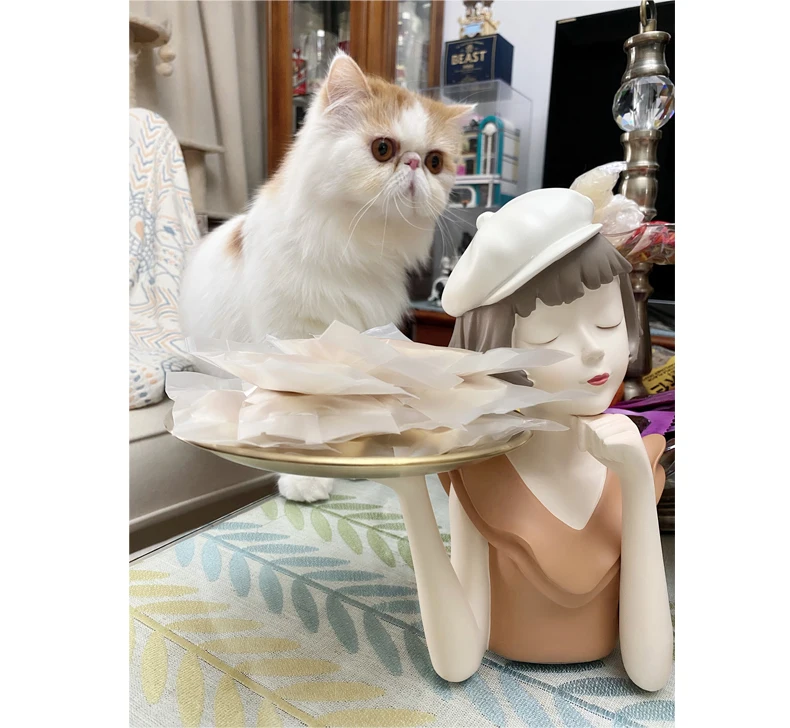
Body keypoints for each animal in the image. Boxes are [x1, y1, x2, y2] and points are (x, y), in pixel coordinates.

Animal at [179, 51, 471, 502]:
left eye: (436, 161)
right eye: (383, 149)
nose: (414, 164)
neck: (353, 245)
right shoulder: (287, 337)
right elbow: (292, 405)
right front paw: (305, 475)